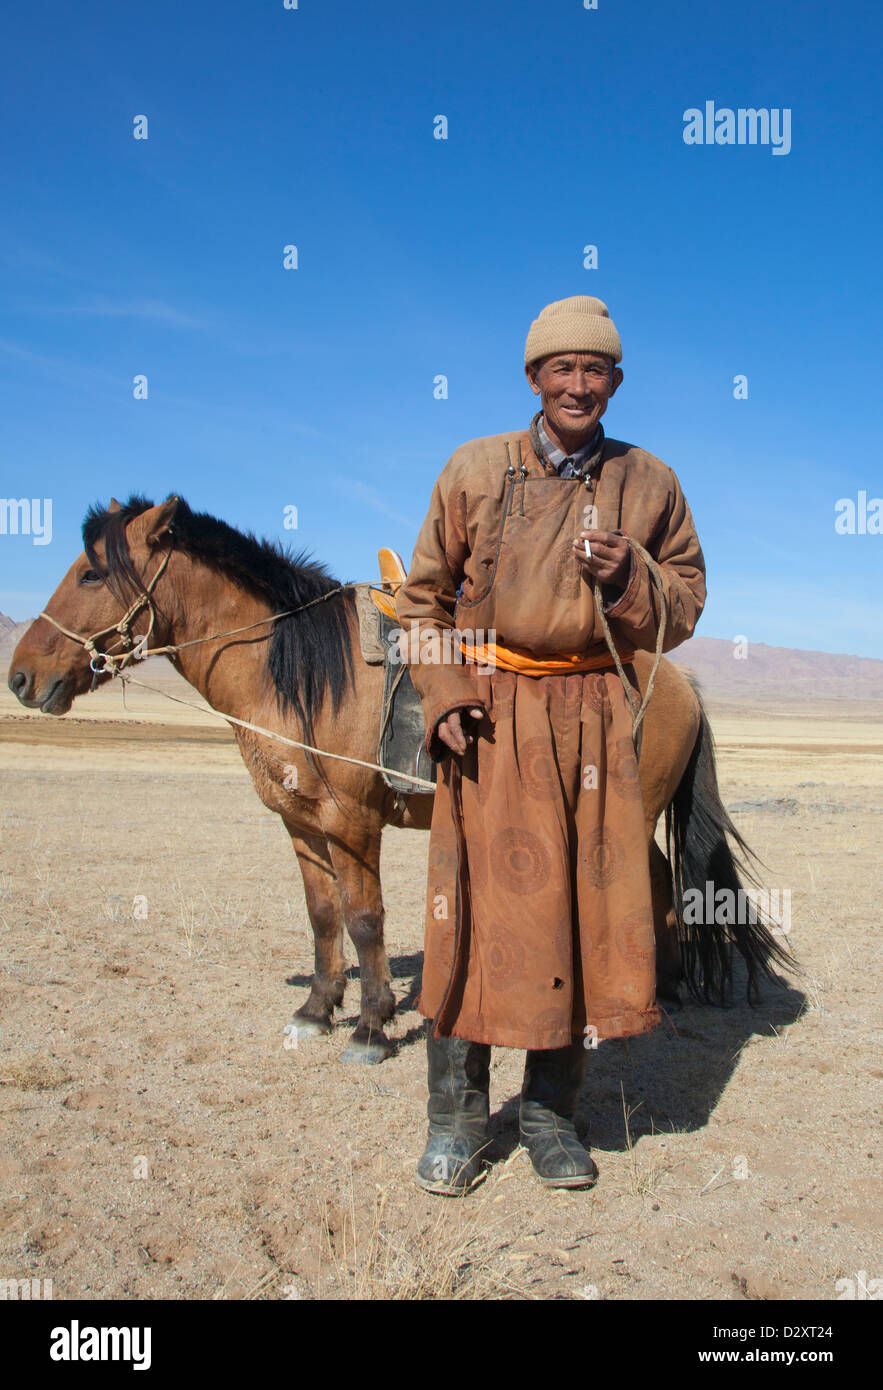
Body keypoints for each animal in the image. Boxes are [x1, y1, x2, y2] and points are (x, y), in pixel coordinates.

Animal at [7, 493, 791, 1062]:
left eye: (89, 573)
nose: (20, 677)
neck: (299, 671)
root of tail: (680, 680)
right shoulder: (301, 823)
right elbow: (322, 915)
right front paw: (317, 1010)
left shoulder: (353, 822)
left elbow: (363, 919)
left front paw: (372, 1025)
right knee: (658, 880)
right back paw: (667, 982)